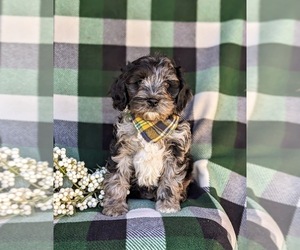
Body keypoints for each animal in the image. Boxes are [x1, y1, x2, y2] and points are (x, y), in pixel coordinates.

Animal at [102, 54, 193, 217]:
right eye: (139, 82)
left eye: (167, 84)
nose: (152, 100)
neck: (151, 124)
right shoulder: (121, 148)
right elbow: (116, 177)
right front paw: (115, 206)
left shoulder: (176, 148)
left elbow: (171, 178)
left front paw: (168, 205)